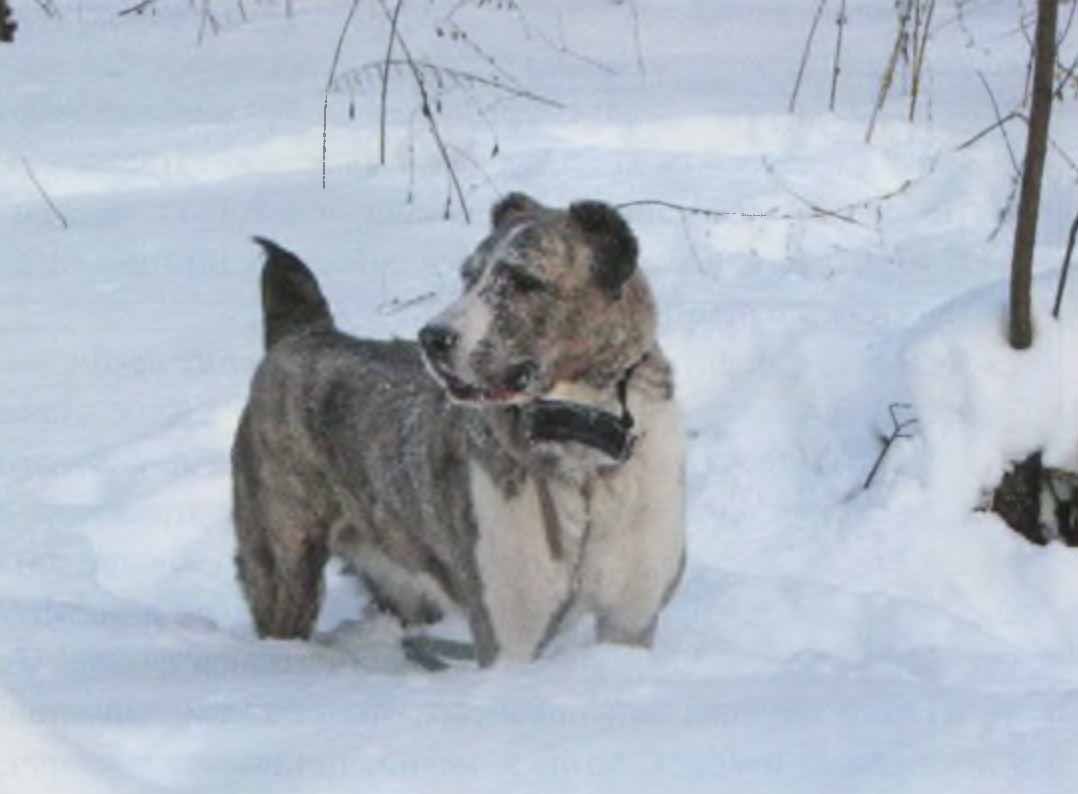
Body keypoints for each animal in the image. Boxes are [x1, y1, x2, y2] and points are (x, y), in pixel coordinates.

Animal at [231, 194, 685, 667]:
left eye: (523, 280)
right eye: (468, 277)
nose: (431, 338)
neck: (581, 449)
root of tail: (302, 334)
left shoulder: (631, 618)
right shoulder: (510, 632)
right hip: (284, 564)